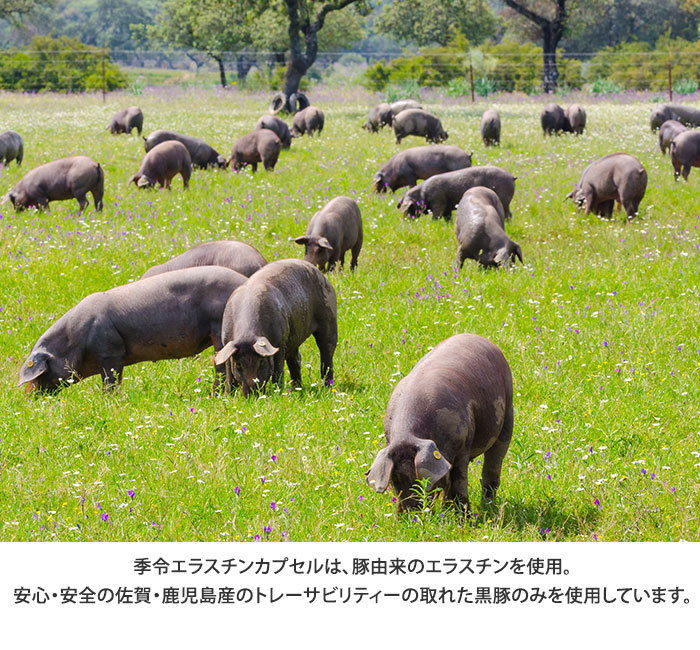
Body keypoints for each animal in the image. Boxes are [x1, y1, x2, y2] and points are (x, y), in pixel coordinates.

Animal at [17, 266, 247, 392]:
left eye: (39, 374)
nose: (27, 396)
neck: (74, 340)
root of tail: (244, 282)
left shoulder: (110, 351)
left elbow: (110, 381)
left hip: (217, 326)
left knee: (220, 364)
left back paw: (215, 394)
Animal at [215, 258, 338, 394]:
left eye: (261, 362)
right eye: (238, 365)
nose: (252, 393)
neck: (247, 334)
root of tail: (319, 273)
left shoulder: (280, 341)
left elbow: (278, 370)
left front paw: (278, 392)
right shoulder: (226, 343)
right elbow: (228, 373)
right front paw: (227, 395)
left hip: (329, 317)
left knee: (327, 352)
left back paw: (327, 387)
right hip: (294, 335)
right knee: (296, 358)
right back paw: (297, 388)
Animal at [366, 334, 516, 512]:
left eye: (420, 479)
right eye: (395, 479)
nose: (410, 514)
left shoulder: (463, 443)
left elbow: (459, 480)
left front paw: (465, 516)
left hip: (508, 411)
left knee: (492, 466)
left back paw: (487, 507)